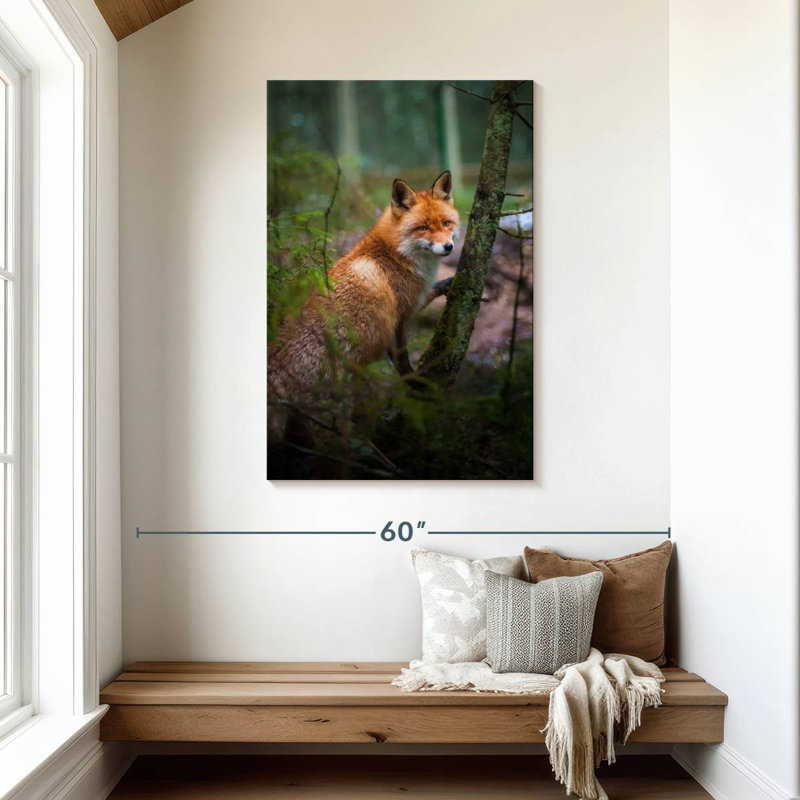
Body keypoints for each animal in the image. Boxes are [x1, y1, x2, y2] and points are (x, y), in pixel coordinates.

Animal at [268, 170, 460, 441]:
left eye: (446, 223)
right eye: (422, 228)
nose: (448, 247)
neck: (395, 254)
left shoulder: (411, 305)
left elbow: (431, 292)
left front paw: (447, 283)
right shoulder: (398, 319)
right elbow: (402, 360)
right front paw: (415, 382)